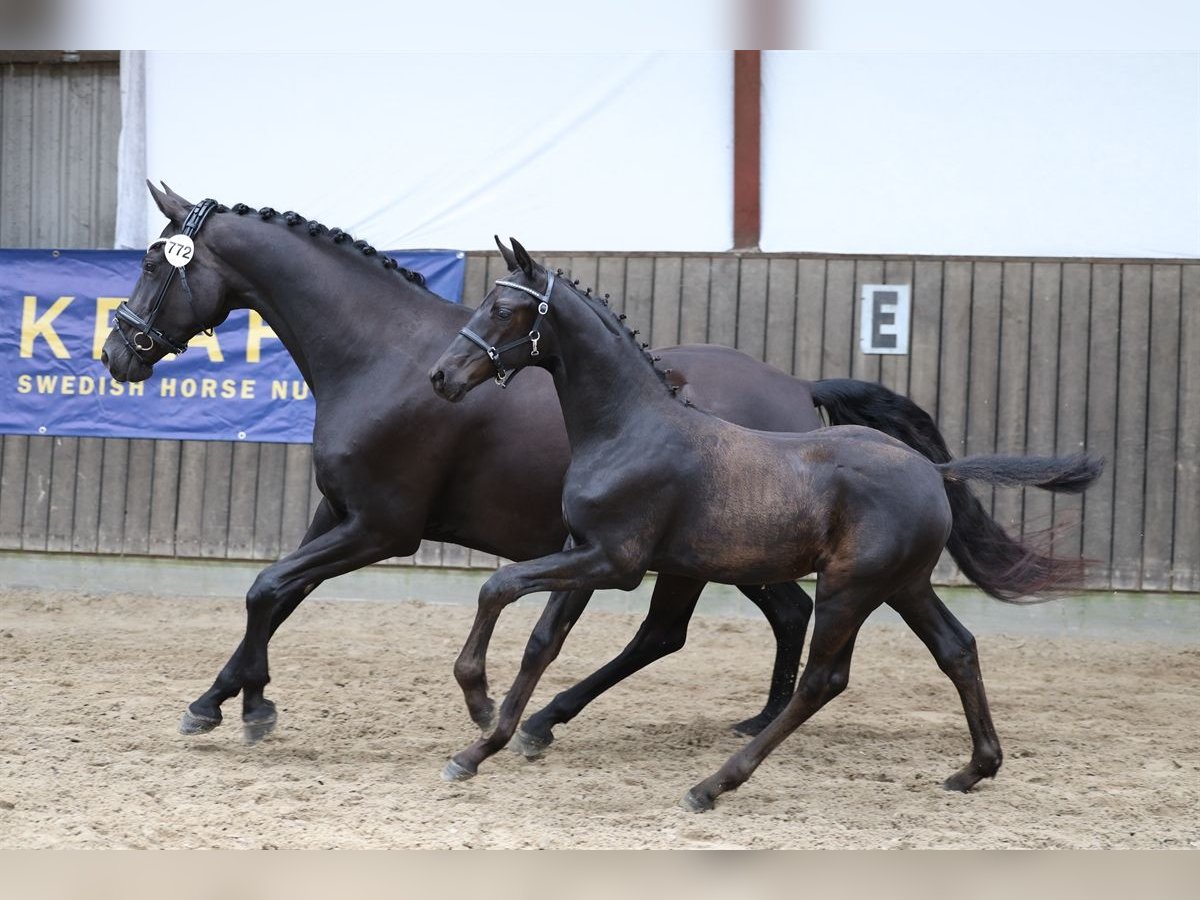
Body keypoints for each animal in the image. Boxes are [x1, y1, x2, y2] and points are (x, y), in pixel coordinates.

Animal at [108, 184, 1089, 753]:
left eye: (159, 260)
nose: (119, 352)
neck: (385, 353)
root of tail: (799, 388)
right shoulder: (338, 514)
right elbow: (277, 594)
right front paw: (232, 698)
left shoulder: (381, 527)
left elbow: (268, 588)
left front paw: (238, 708)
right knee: (777, 619)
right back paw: (740, 720)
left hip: (714, 557)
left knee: (715, 628)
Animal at [427, 237, 1099, 811]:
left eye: (505, 309)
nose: (442, 377)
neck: (629, 428)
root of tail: (934, 470)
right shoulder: (583, 548)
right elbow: (542, 641)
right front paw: (488, 743)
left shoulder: (612, 561)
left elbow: (499, 587)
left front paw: (479, 705)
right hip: (903, 586)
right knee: (956, 649)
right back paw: (975, 768)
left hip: (849, 589)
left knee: (823, 678)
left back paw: (713, 784)